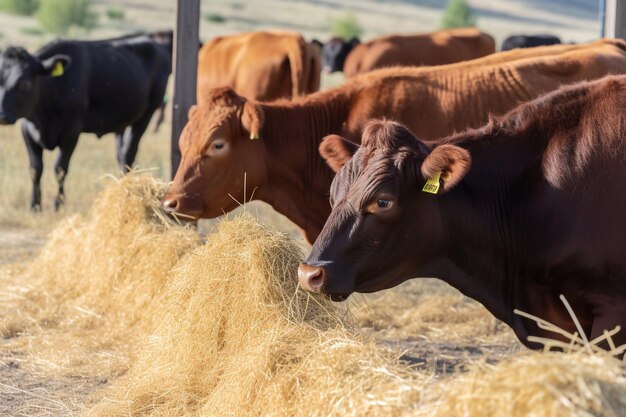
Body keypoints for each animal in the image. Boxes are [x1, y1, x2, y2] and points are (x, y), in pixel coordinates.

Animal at [0, 30, 172, 210]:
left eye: (24, 84)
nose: (2, 115)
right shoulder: (27, 130)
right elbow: (35, 169)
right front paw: (35, 205)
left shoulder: (71, 133)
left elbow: (60, 168)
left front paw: (58, 204)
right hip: (122, 123)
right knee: (121, 156)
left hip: (145, 116)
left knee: (128, 155)